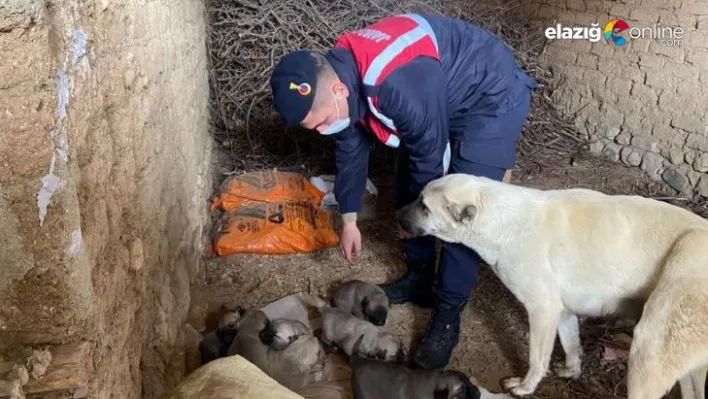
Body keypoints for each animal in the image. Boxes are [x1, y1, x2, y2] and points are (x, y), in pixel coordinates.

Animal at [396, 174, 708, 399]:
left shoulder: (542, 309)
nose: (396, 213)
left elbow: (537, 358)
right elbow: (571, 345)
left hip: (652, 341)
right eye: (419, 198)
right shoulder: (562, 309)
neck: (501, 221)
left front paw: (524, 387)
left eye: (424, 206)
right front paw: (571, 371)